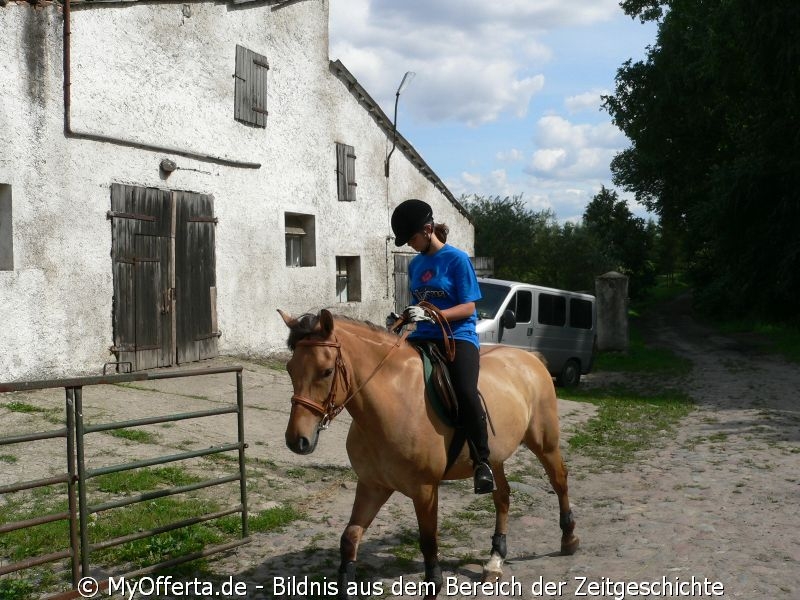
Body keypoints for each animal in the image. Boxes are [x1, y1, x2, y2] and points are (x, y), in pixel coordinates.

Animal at [278, 310, 580, 600]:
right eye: (290, 369)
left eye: (326, 371)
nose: (297, 440)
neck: (395, 400)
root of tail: (530, 358)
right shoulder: (372, 485)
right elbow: (350, 537)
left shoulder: (425, 490)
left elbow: (428, 542)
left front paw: (434, 584)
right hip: (494, 458)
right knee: (502, 496)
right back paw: (495, 560)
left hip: (545, 444)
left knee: (559, 480)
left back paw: (569, 539)